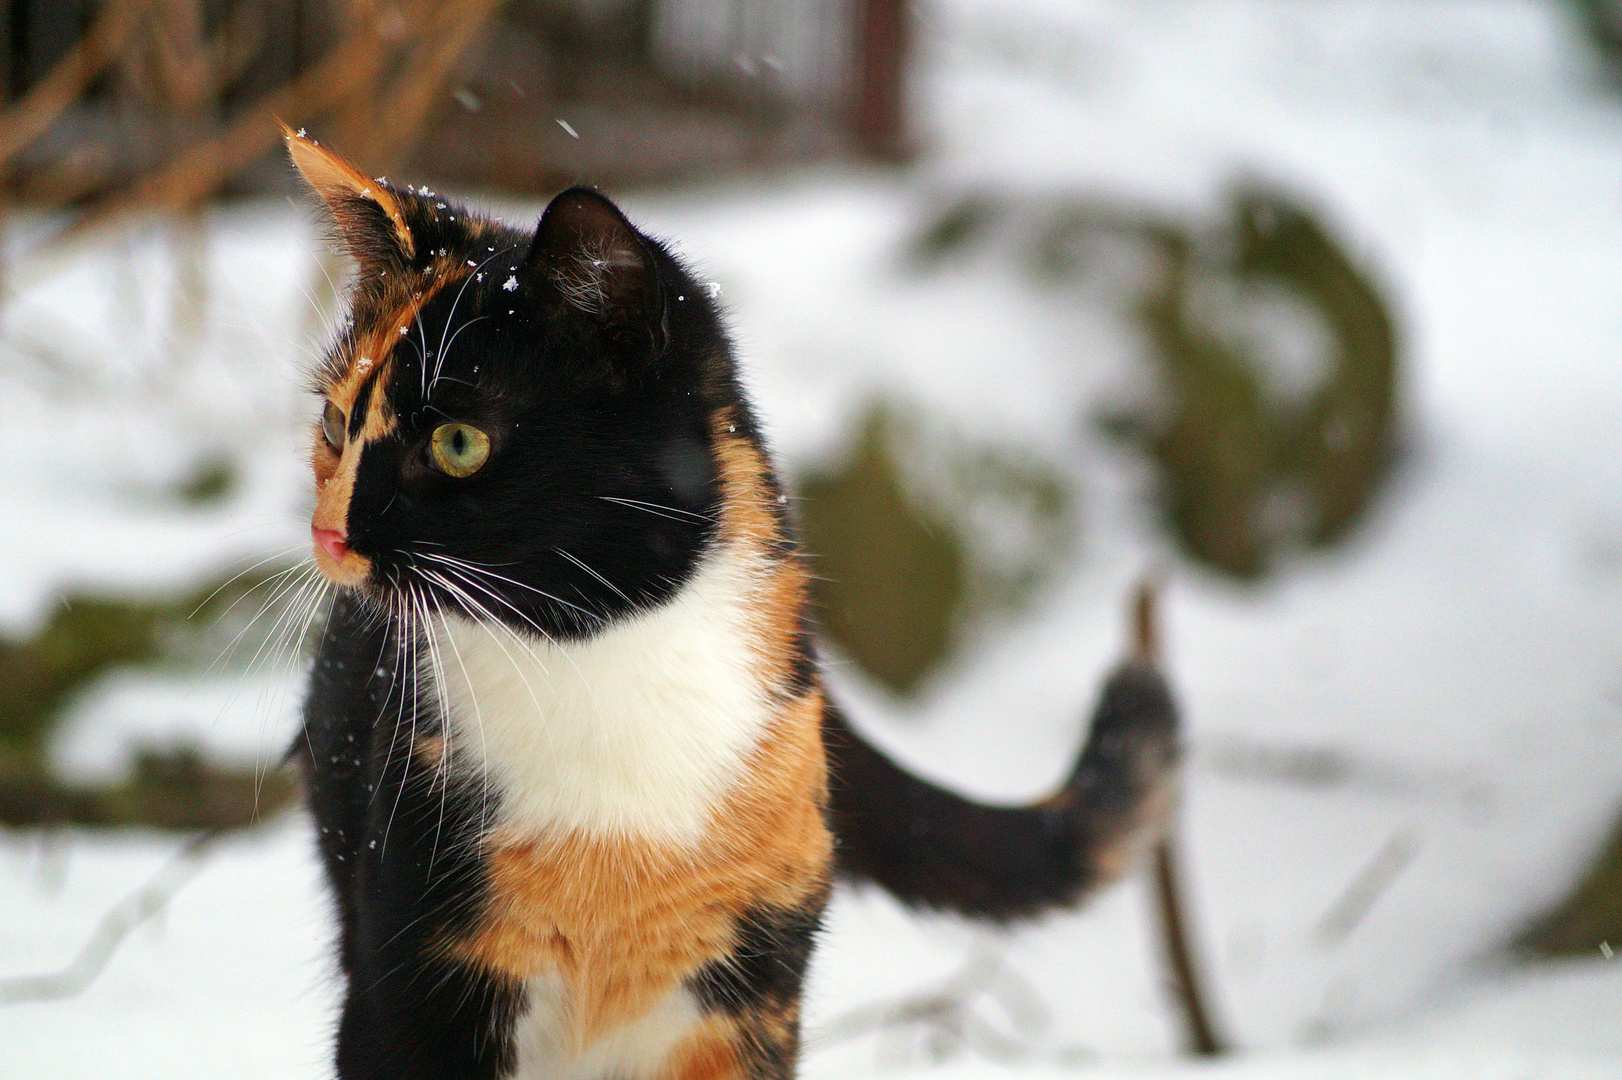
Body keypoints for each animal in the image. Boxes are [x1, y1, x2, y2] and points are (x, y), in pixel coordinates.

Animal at [288, 130, 1180, 1076]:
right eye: (337, 427)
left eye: (459, 443)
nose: (328, 534)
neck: (595, 671)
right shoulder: (408, 984)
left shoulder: (752, 999)